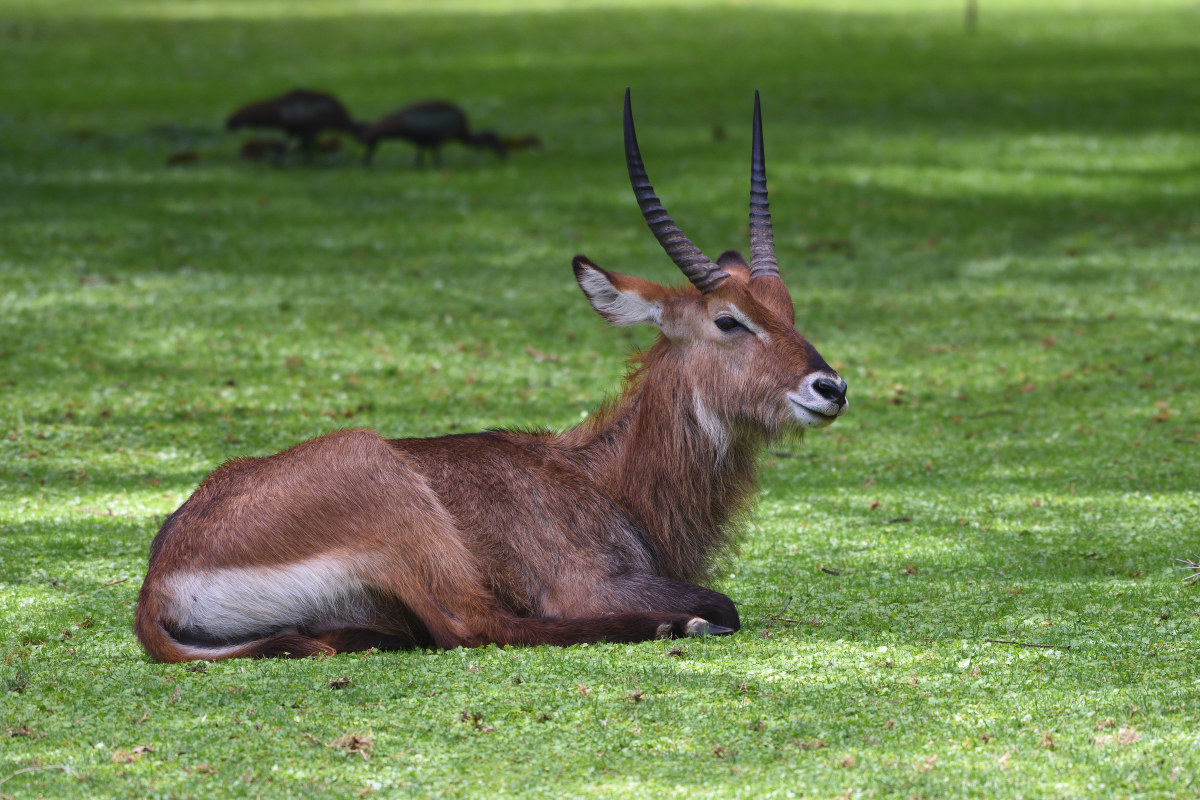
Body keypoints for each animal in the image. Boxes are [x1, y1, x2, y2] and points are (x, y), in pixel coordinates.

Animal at [136, 89, 849, 662]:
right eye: (730, 320)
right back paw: (677, 627)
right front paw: (691, 618)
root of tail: (157, 585)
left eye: (788, 310)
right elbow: (721, 600)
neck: (602, 476)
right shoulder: (587, 583)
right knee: (475, 627)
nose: (831, 388)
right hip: (393, 497)